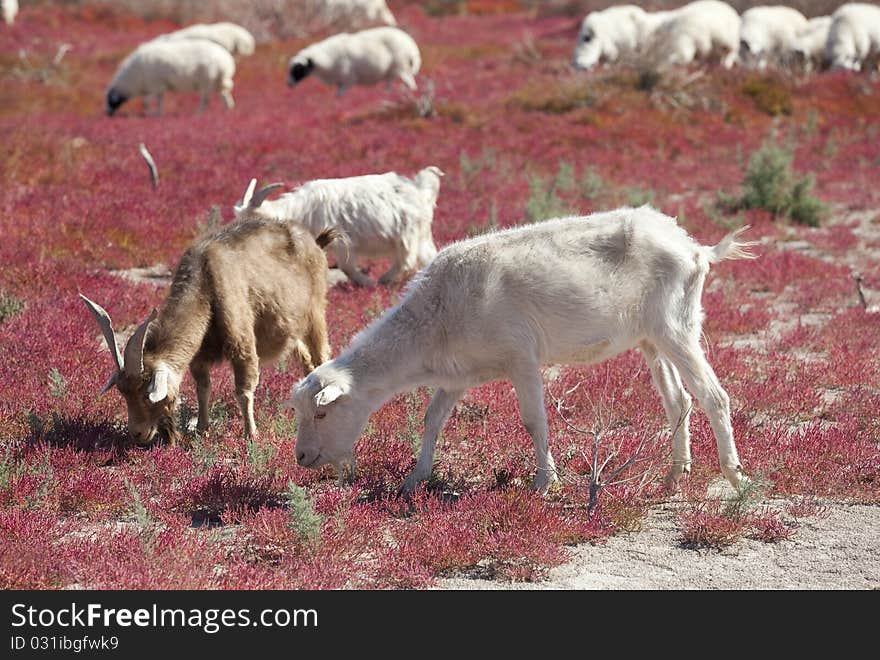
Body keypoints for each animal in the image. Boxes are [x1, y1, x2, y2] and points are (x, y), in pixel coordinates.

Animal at [81, 219, 336, 446]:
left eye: (146, 393)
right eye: (123, 393)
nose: (137, 433)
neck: (205, 279)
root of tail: (316, 242)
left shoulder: (241, 341)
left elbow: (243, 391)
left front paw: (251, 435)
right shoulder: (199, 355)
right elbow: (203, 388)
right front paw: (202, 429)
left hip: (315, 313)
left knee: (321, 356)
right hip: (291, 329)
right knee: (305, 359)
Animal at [105, 38, 235, 116]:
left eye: (110, 100)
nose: (107, 114)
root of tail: (225, 59)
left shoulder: (156, 85)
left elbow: (146, 101)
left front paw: (151, 113)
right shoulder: (159, 86)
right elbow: (159, 100)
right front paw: (159, 113)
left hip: (206, 80)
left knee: (205, 99)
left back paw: (198, 113)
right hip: (217, 81)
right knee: (224, 95)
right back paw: (228, 109)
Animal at [234, 165, 444, 286]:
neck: (301, 211)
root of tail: (419, 189)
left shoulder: (343, 242)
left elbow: (346, 267)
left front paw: (368, 283)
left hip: (406, 235)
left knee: (406, 261)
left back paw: (384, 280)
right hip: (421, 236)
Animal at [288, 26, 422, 96]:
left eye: (298, 69)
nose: (288, 84)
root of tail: (411, 45)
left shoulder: (348, 79)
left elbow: (340, 96)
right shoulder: (340, 81)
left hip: (401, 67)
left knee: (411, 84)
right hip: (392, 72)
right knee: (390, 86)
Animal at [288, 206, 756, 496]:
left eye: (323, 414)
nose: (303, 457)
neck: (436, 317)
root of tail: (696, 248)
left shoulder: (521, 359)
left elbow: (534, 421)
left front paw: (544, 483)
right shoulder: (458, 376)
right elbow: (432, 420)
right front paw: (413, 480)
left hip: (677, 326)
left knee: (714, 397)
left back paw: (736, 479)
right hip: (651, 339)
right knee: (678, 401)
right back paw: (674, 477)